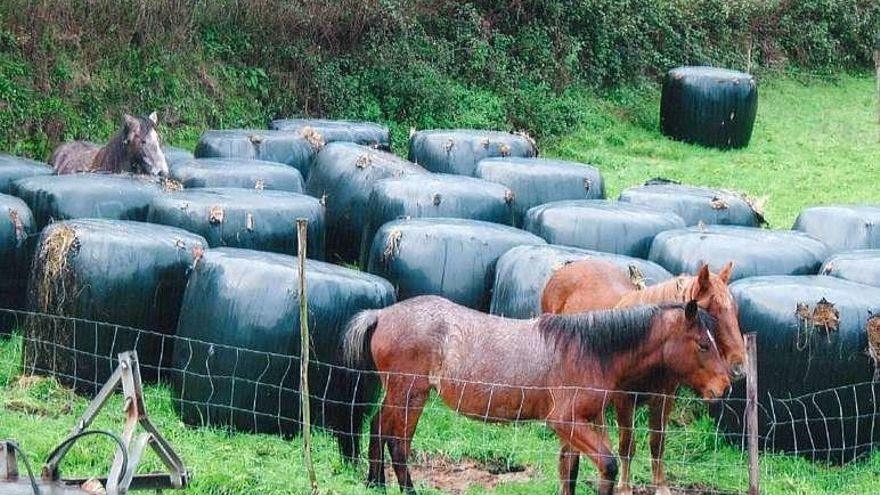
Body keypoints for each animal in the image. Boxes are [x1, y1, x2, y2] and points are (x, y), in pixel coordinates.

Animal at [344, 296, 728, 494]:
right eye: (703, 344)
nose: (724, 387)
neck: (590, 351)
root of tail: (381, 314)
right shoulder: (565, 421)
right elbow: (607, 465)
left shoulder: (580, 424)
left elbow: (569, 470)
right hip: (408, 392)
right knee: (396, 443)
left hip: (409, 394)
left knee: (380, 428)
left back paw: (375, 483)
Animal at [544, 262, 744, 494]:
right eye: (712, 313)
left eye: (736, 311)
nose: (739, 366)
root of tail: (566, 267)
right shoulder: (624, 400)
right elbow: (627, 444)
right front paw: (624, 487)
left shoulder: (664, 399)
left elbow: (657, 442)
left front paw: (661, 486)